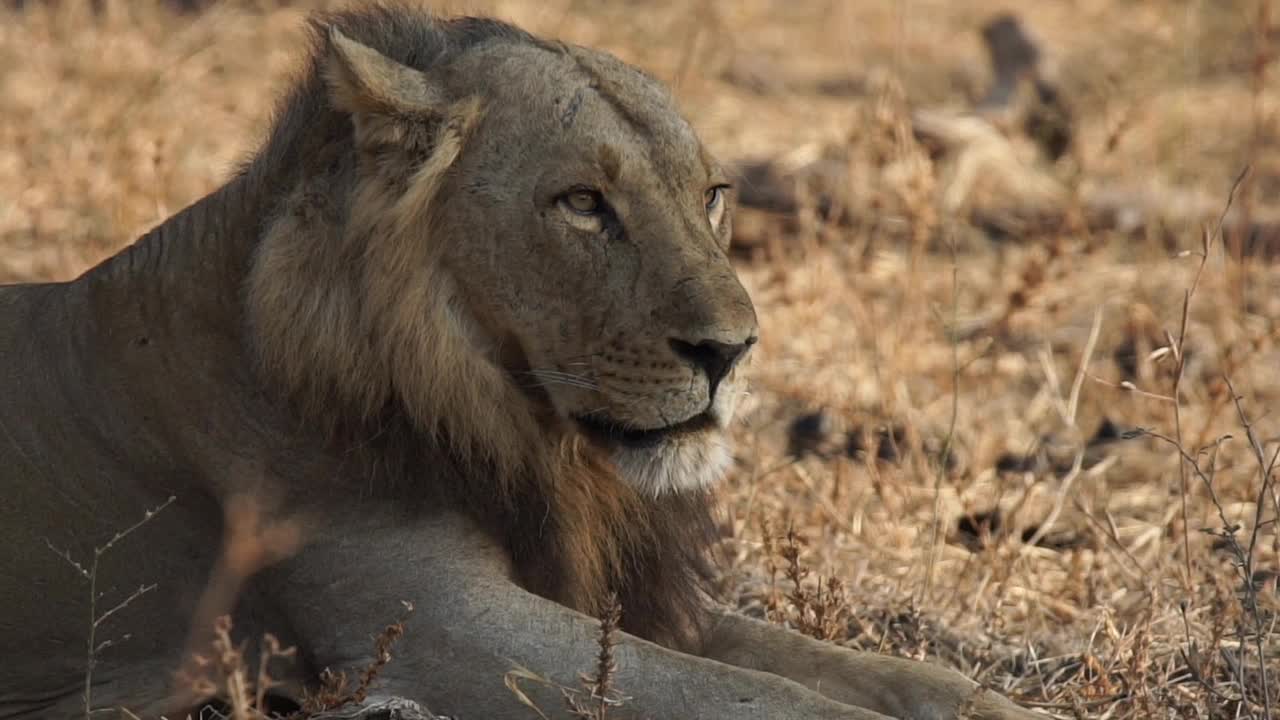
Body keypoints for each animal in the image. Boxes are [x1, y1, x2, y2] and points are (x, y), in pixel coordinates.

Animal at [0, 7, 1039, 717]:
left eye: (711, 194)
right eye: (582, 204)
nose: (733, 350)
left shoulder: (633, 601)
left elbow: (897, 674)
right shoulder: (439, 627)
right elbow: (775, 701)